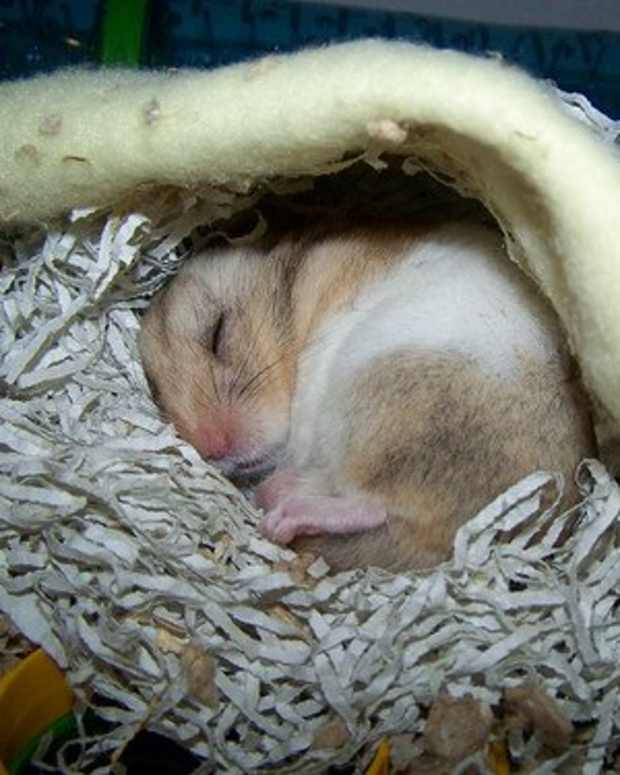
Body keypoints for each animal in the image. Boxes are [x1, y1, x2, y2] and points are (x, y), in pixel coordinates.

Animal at [138, 221, 595, 572]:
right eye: (156, 392)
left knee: (372, 504)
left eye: (217, 334)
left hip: (380, 398)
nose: (212, 449)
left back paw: (280, 516)